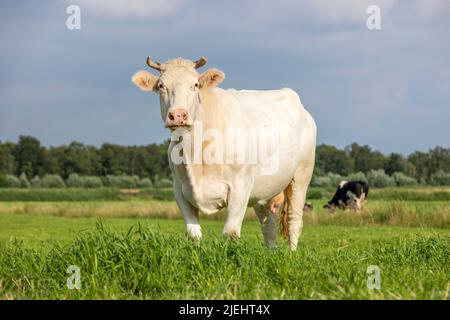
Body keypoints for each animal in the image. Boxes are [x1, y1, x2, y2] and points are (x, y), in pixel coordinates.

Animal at [131, 58, 316, 252]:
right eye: (161, 85)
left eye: (195, 85)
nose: (178, 115)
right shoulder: (179, 189)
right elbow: (193, 234)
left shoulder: (240, 186)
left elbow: (230, 233)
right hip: (264, 189)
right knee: (268, 226)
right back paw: (271, 253)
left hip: (301, 176)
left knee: (294, 220)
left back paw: (292, 253)